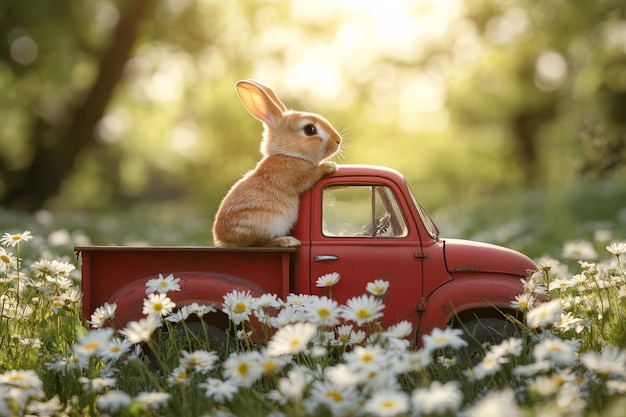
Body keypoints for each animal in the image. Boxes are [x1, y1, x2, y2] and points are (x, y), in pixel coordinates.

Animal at [213, 79, 342, 245]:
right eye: (310, 130)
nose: (338, 140)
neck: (289, 154)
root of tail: (224, 241)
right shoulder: (296, 175)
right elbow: (311, 174)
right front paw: (330, 167)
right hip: (264, 224)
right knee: (259, 243)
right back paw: (286, 241)